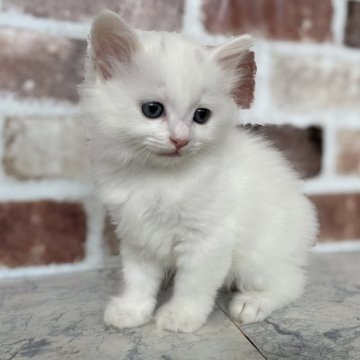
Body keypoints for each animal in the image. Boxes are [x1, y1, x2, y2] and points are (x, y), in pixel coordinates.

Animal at [79, 10, 318, 332]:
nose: (181, 139)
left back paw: (253, 303)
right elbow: (138, 279)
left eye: (201, 116)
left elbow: (193, 284)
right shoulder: (137, 235)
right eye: (152, 110)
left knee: (291, 284)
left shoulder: (208, 238)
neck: (158, 176)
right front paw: (132, 310)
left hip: (260, 257)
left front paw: (181, 316)